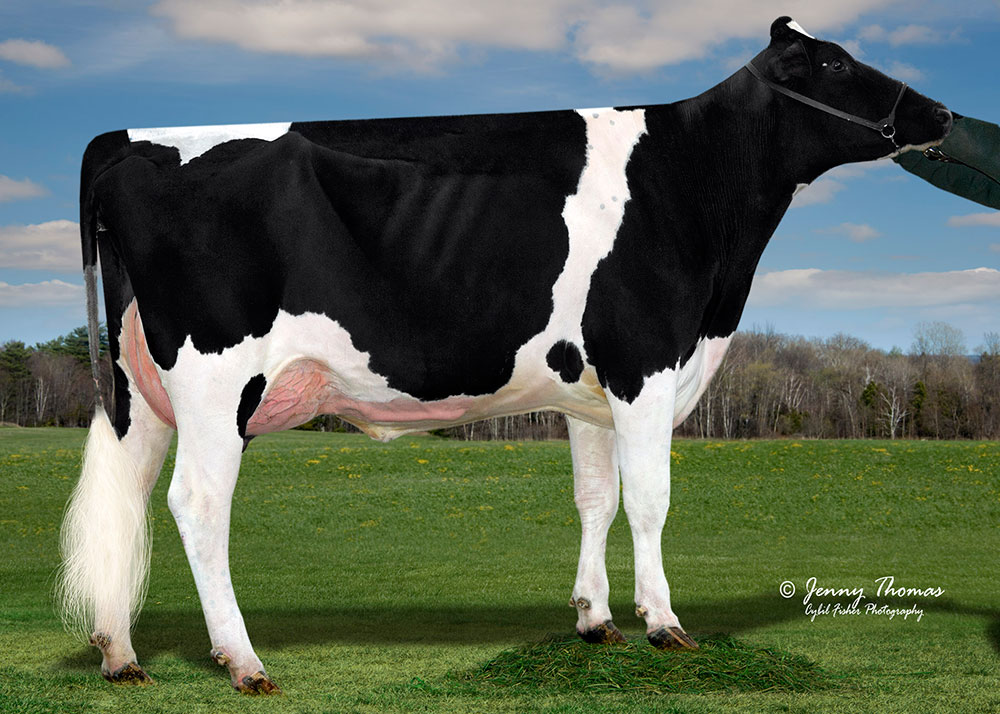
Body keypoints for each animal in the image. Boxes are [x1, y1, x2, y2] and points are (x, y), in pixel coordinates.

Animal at [58, 17, 953, 693]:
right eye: (835, 63)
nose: (941, 114)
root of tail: (123, 138)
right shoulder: (645, 363)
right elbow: (650, 500)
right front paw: (664, 624)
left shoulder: (590, 389)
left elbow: (596, 498)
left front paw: (596, 620)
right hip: (214, 378)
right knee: (197, 505)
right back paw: (243, 662)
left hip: (141, 386)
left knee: (129, 496)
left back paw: (121, 655)